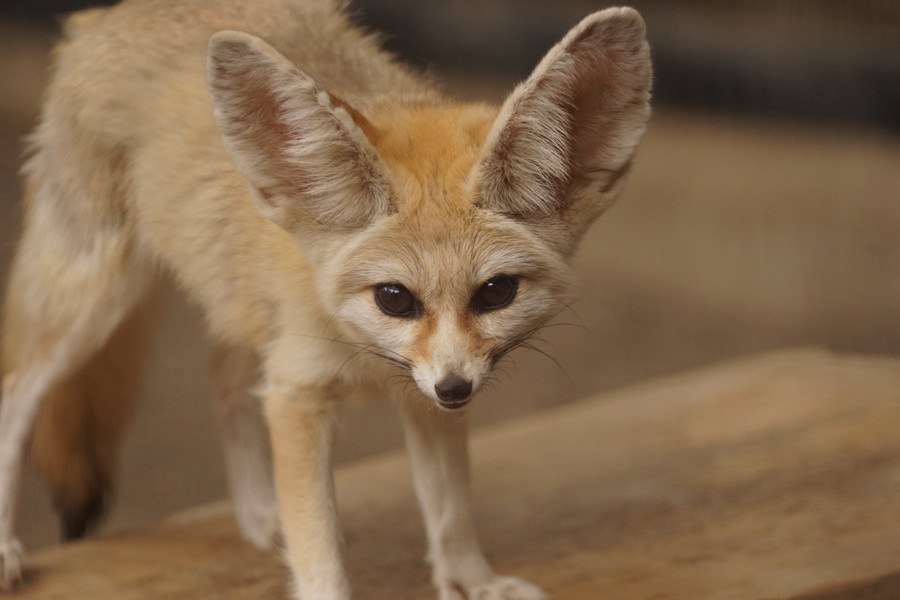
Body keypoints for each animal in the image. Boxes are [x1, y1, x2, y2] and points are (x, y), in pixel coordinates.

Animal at [0, 2, 648, 596]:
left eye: (496, 292)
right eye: (394, 298)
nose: (455, 390)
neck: (359, 350)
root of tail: (103, 15)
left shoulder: (417, 391)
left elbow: (451, 511)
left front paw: (473, 582)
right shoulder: (298, 394)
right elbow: (320, 545)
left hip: (236, 303)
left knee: (223, 376)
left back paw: (259, 516)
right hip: (94, 305)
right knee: (15, 399)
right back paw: (8, 548)